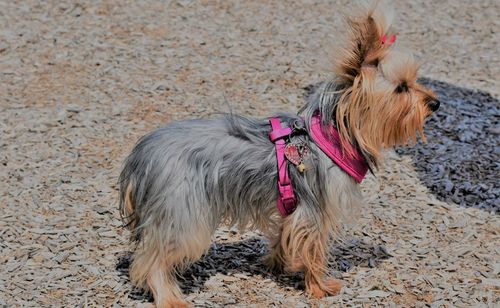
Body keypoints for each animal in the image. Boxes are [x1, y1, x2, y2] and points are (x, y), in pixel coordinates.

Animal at [117, 2, 438, 306]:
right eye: (402, 88)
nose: (435, 103)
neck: (335, 133)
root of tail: (138, 159)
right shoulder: (314, 211)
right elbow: (313, 250)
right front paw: (319, 287)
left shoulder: (293, 208)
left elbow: (285, 236)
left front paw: (277, 264)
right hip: (182, 213)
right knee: (151, 261)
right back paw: (170, 298)